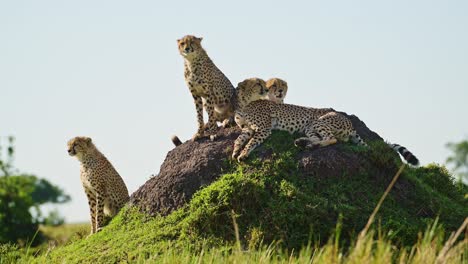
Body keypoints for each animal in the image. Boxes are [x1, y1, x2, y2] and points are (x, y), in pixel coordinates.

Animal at [232, 100, 418, 166]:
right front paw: (235, 151)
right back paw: (303, 142)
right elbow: (239, 138)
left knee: (332, 139)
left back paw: (305, 144)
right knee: (319, 138)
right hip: (309, 127)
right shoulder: (247, 129)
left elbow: (251, 142)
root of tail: (350, 123)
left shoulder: (264, 129)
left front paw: (243, 154)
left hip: (318, 121)